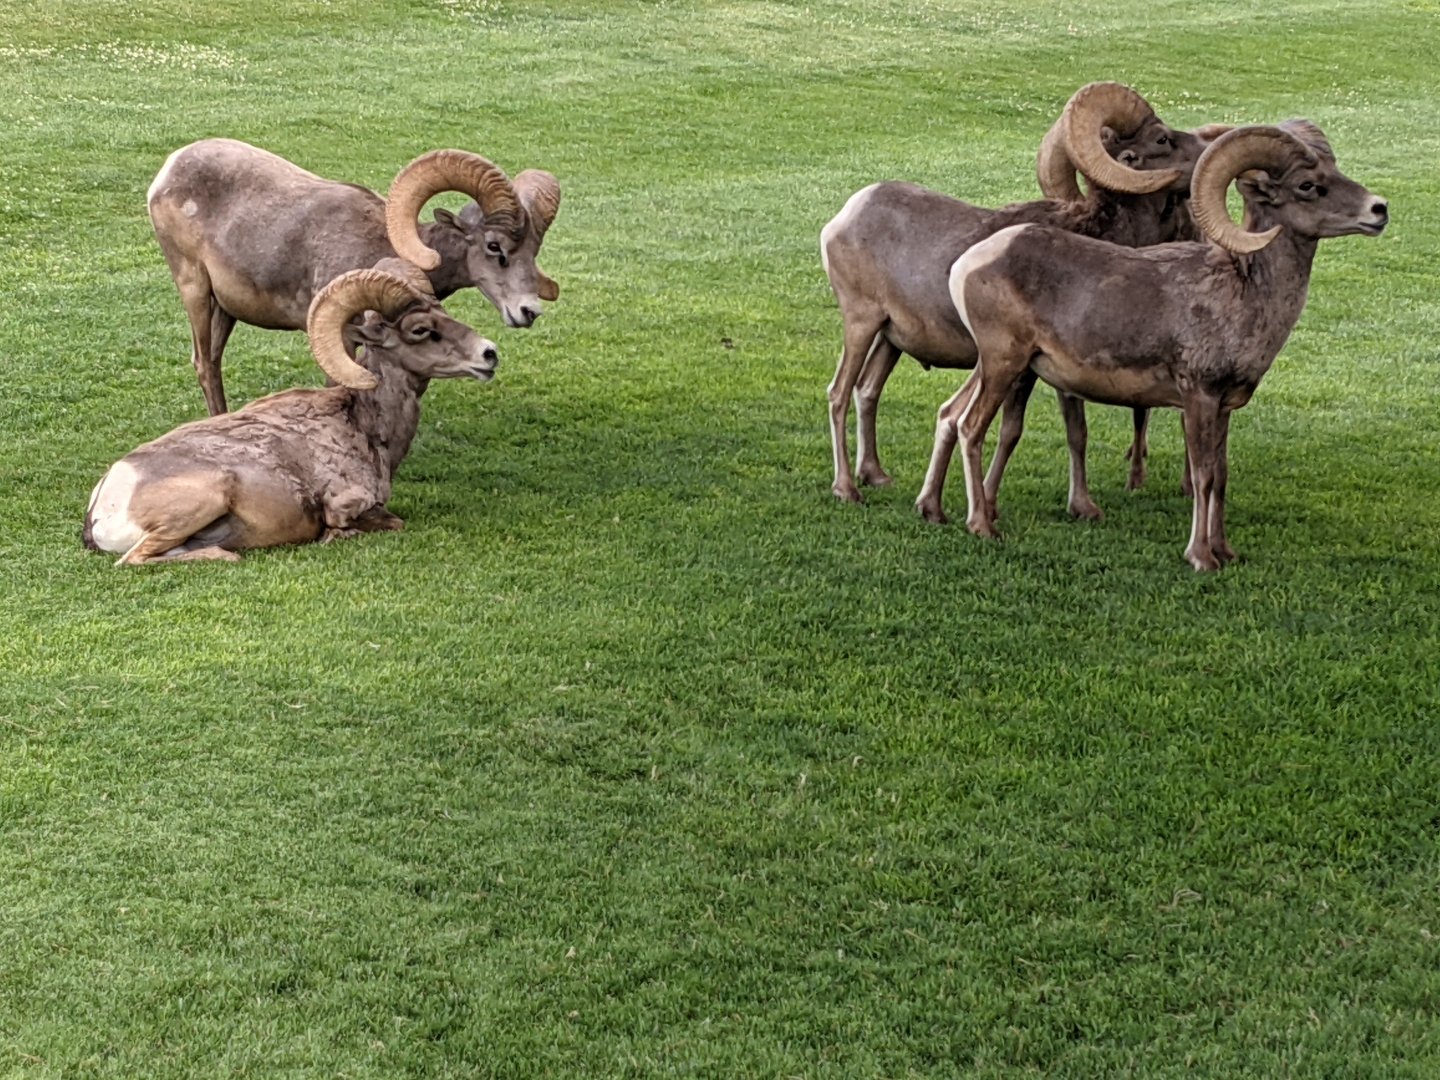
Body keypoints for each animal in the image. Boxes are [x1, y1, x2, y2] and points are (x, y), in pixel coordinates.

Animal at [83, 264, 499, 565]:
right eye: (421, 329)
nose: (489, 353)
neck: (364, 426)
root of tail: (103, 504)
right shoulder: (345, 507)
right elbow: (388, 523)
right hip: (204, 499)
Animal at [148, 139, 560, 415]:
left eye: (533, 250)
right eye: (494, 247)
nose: (528, 311)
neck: (379, 245)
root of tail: (167, 171)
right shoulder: (341, 339)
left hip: (225, 309)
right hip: (194, 290)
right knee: (204, 363)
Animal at [821, 82, 1225, 514]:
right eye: (1163, 138)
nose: (1213, 147)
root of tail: (843, 218)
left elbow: (1042, 432)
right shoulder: (1042, 370)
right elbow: (1052, 431)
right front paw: (1077, 507)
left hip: (891, 339)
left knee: (868, 391)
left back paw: (876, 475)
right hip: (861, 324)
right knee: (840, 393)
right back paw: (847, 488)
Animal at [917, 121, 1388, 570]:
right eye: (1308, 185)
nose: (1379, 209)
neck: (1242, 293)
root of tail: (970, 262)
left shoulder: (1224, 407)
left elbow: (1221, 477)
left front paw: (1226, 552)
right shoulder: (1198, 396)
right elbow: (1202, 477)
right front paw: (1201, 558)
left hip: (995, 367)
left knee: (949, 414)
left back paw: (933, 512)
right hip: (1004, 365)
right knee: (971, 427)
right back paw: (981, 526)